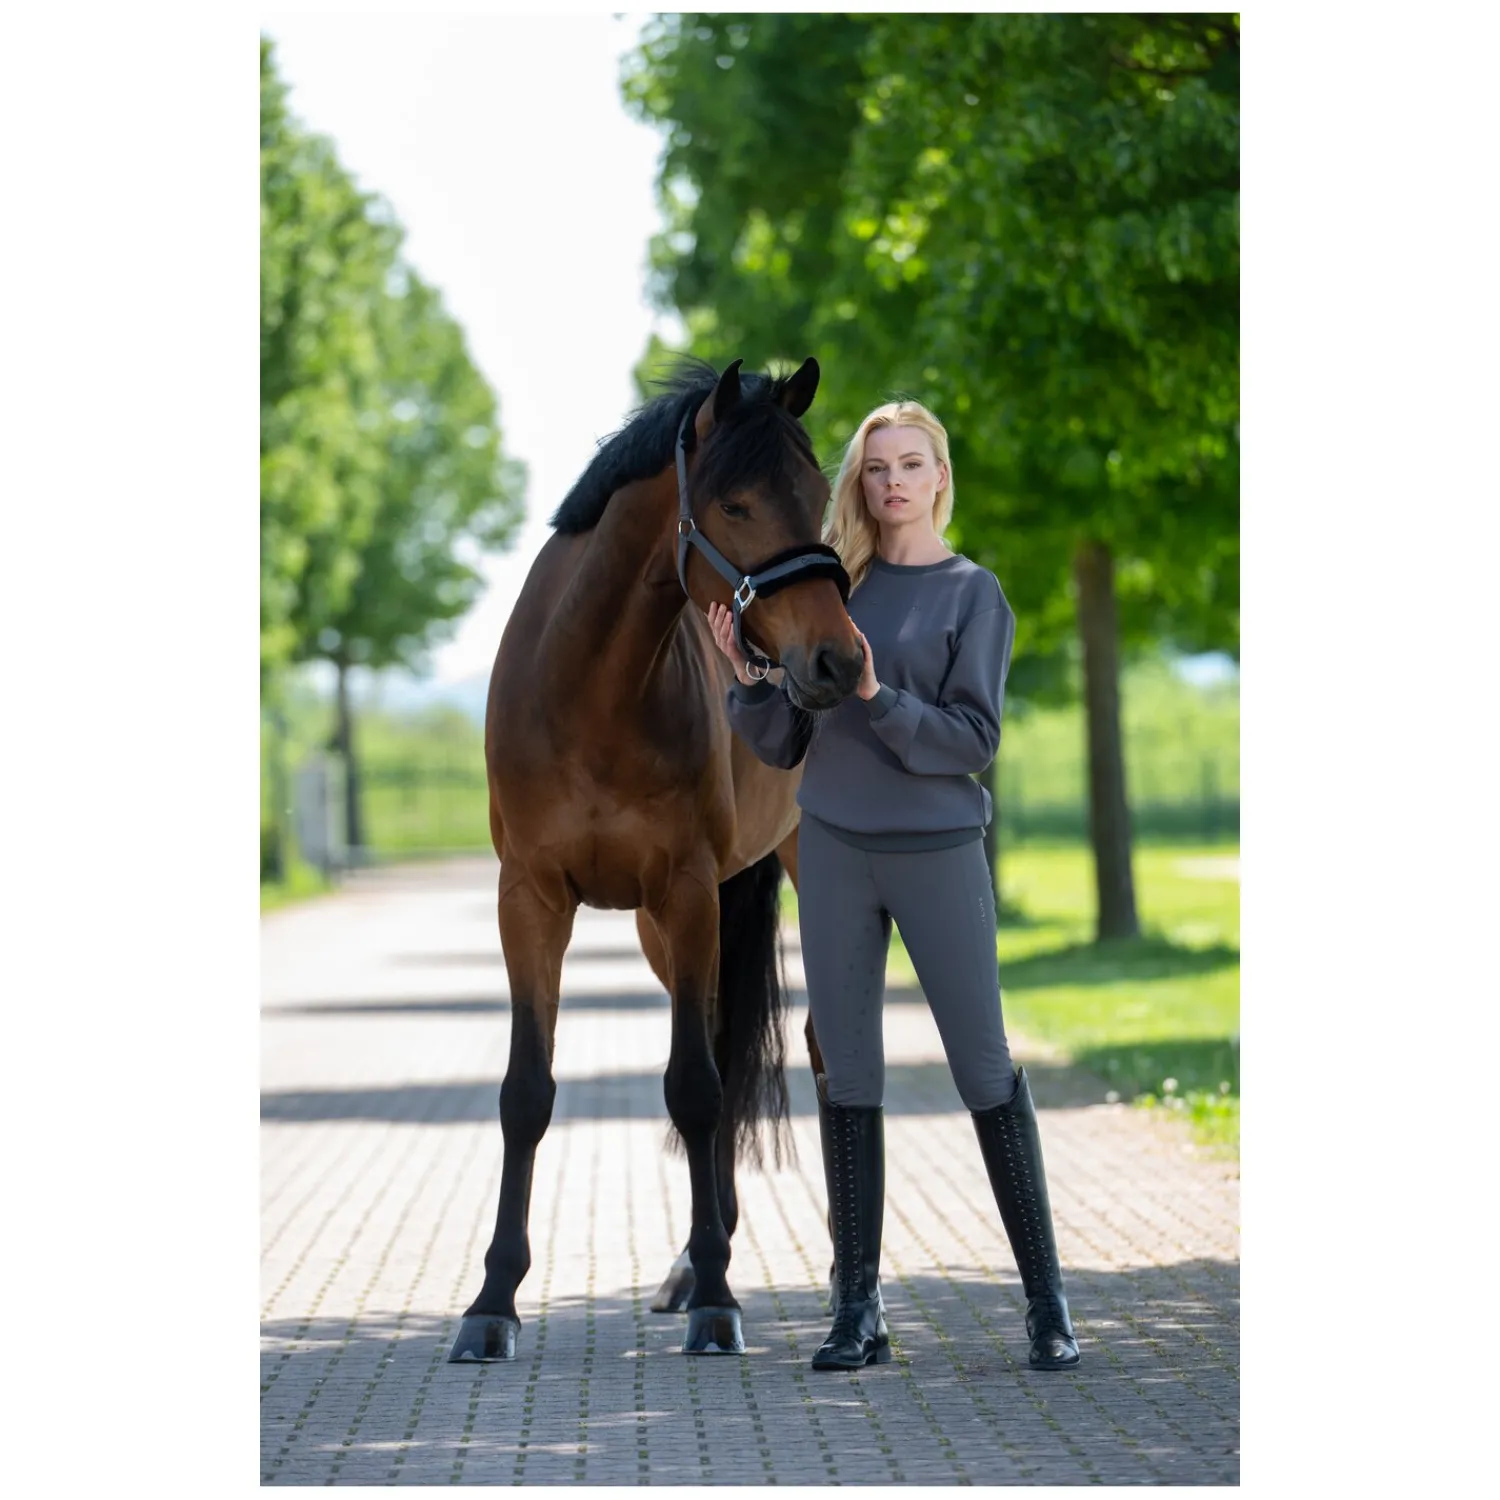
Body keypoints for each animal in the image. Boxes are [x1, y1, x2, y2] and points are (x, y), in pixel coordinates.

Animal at [448, 356, 864, 1362]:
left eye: (818, 496)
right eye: (737, 503)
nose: (836, 660)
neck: (592, 690)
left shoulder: (687, 891)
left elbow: (696, 1089)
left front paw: (718, 1298)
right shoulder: (533, 900)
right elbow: (528, 1092)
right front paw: (492, 1303)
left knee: (816, 1051)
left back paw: (830, 1272)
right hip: (657, 924)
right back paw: (687, 1265)